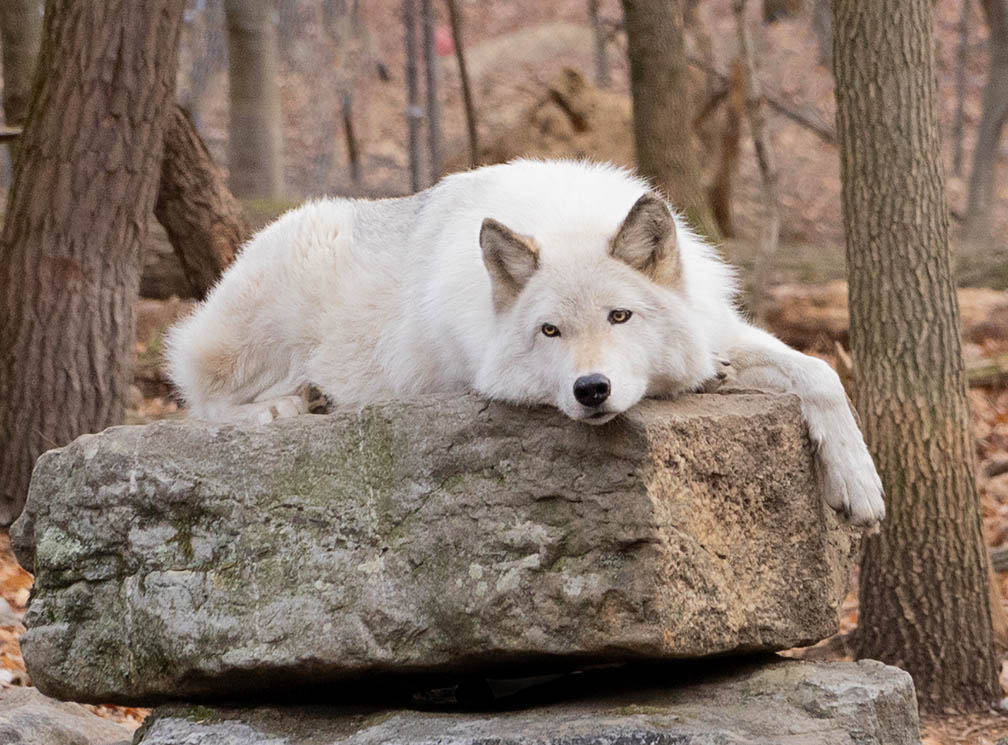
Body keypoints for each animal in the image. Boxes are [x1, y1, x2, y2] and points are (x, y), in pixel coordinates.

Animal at [169, 160, 887, 528]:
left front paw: (860, 486)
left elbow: (819, 372)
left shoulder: (717, 326)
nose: (591, 390)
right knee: (203, 401)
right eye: (550, 331)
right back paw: (292, 403)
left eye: (620, 316)